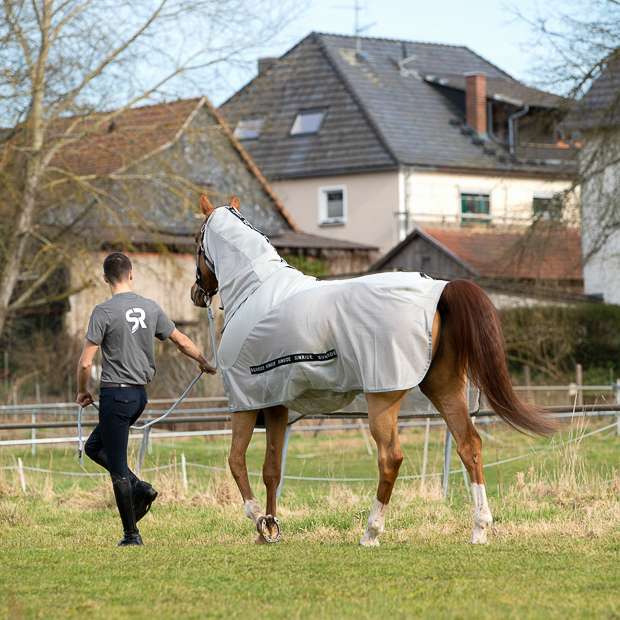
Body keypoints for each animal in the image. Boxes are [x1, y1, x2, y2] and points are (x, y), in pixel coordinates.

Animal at [191, 196, 556, 544]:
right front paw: (269, 529)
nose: (196, 293)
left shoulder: (245, 404)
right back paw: (479, 530)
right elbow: (271, 469)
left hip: (383, 397)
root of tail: (438, 292)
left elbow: (236, 461)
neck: (255, 291)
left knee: (390, 458)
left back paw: (371, 533)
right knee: (470, 446)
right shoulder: (276, 403)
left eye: (196, 239)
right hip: (444, 387)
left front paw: (257, 519)